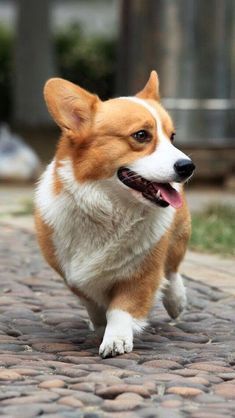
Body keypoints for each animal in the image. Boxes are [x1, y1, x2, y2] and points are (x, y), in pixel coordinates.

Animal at [35, 71, 196, 356]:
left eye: (172, 137)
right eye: (141, 135)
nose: (188, 166)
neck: (109, 209)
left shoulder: (142, 274)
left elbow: (122, 309)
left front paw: (116, 338)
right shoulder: (73, 275)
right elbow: (94, 303)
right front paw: (100, 326)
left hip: (179, 235)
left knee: (173, 269)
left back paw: (176, 301)